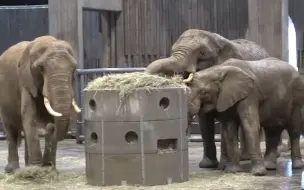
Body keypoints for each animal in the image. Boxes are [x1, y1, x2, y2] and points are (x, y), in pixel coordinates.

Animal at [0, 35, 81, 173]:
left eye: (74, 69)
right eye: (40, 68)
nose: (49, 127)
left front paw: (49, 168)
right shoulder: (26, 82)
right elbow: (30, 119)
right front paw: (37, 169)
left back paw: (28, 165)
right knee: (10, 129)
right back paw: (12, 170)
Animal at [145, 28, 270, 168]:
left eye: (202, 53)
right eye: (172, 50)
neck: (216, 39)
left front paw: (222, 165)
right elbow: (204, 122)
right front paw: (207, 165)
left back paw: (245, 157)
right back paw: (243, 157)